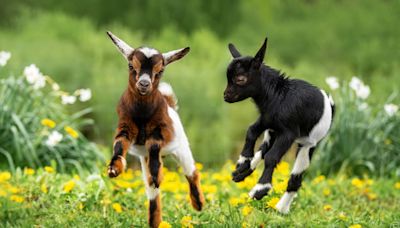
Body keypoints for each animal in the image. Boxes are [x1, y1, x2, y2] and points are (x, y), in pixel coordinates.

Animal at [106, 31, 205, 227]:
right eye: (131, 65)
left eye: (160, 71)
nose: (144, 84)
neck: (143, 114)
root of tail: (169, 102)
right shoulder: (126, 126)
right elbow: (119, 144)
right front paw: (114, 168)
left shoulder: (162, 130)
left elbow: (153, 144)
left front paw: (157, 175)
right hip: (144, 160)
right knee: (153, 194)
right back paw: (155, 221)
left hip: (182, 148)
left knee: (192, 172)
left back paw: (198, 204)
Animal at [225, 37, 334, 214]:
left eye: (240, 79)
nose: (226, 96)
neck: (279, 95)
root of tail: (329, 102)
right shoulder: (267, 120)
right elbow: (251, 131)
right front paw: (242, 162)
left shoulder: (289, 133)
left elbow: (272, 157)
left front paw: (260, 190)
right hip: (272, 133)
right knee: (262, 151)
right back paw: (241, 173)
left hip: (308, 144)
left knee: (294, 179)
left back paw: (281, 209)